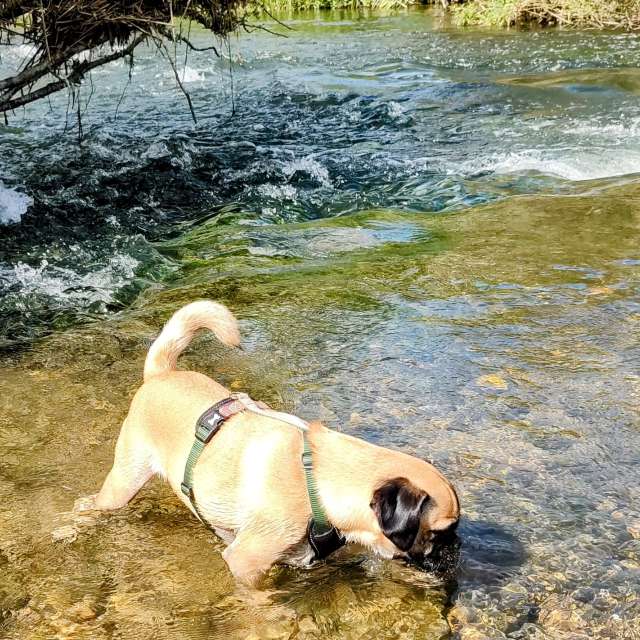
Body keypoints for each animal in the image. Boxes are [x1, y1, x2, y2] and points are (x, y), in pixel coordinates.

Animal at [95, 300, 460, 584]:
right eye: (437, 533)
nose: (455, 549)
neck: (320, 483)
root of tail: (161, 374)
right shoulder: (245, 562)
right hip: (124, 481)